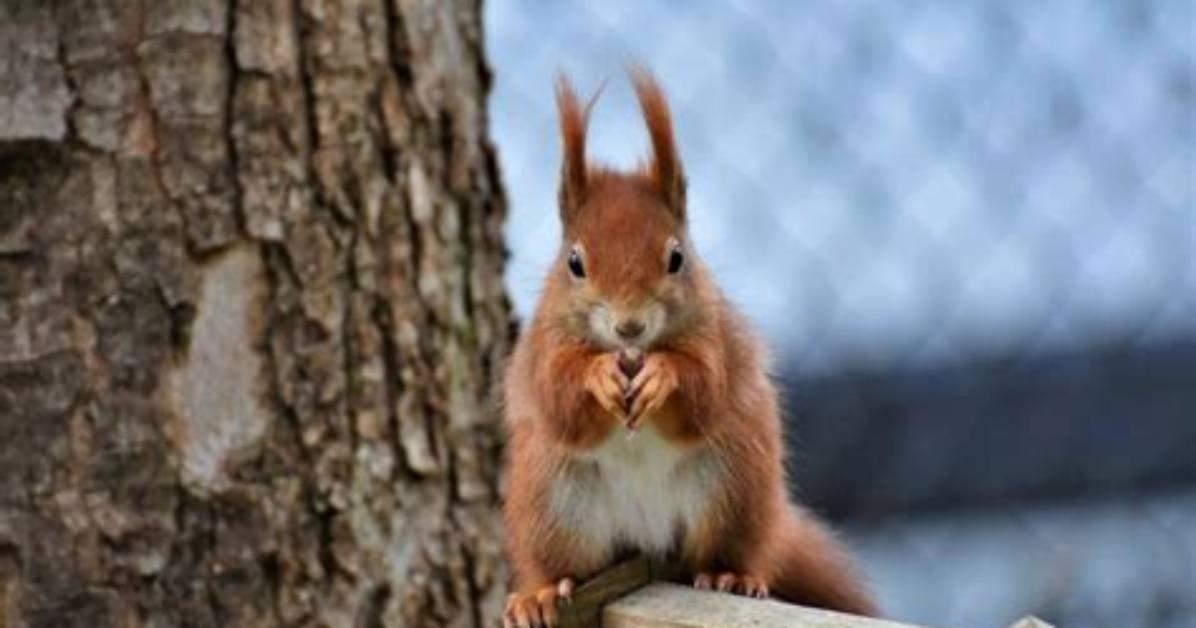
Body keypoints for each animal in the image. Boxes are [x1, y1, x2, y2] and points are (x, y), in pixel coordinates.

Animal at [501, 68, 876, 627]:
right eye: (574, 263)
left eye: (677, 257)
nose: (629, 327)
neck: (632, 352)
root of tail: (647, 541)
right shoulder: (543, 348)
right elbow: (559, 398)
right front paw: (597, 375)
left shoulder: (715, 337)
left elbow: (705, 391)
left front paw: (663, 374)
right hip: (550, 502)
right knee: (564, 563)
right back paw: (543, 593)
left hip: (735, 485)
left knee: (727, 552)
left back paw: (729, 577)